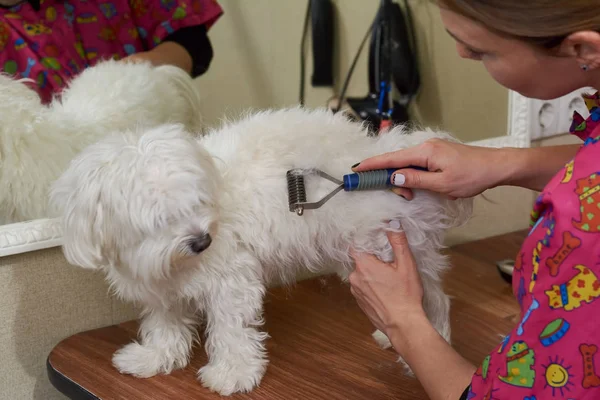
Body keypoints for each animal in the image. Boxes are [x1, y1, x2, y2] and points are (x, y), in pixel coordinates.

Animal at [50, 108, 474, 396]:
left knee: (431, 301)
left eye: (198, 202)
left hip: (384, 250)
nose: (202, 241)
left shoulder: (231, 281)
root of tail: (393, 150)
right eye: (159, 220)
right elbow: (166, 327)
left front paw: (232, 374)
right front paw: (154, 358)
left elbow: (232, 330)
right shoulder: (162, 291)